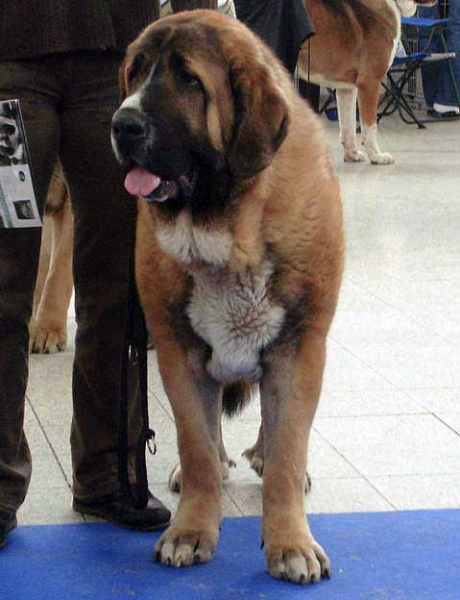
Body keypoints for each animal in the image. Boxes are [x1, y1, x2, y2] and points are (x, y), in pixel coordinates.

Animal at [110, 9, 342, 584]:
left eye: (189, 80)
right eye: (136, 71)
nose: (123, 124)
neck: (229, 231)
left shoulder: (299, 350)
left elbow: (287, 453)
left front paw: (291, 543)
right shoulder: (179, 353)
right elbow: (195, 443)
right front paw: (191, 530)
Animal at [300, 0, 436, 164]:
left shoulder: (347, 89)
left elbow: (348, 126)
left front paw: (352, 155)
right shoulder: (370, 82)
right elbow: (369, 126)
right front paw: (377, 156)